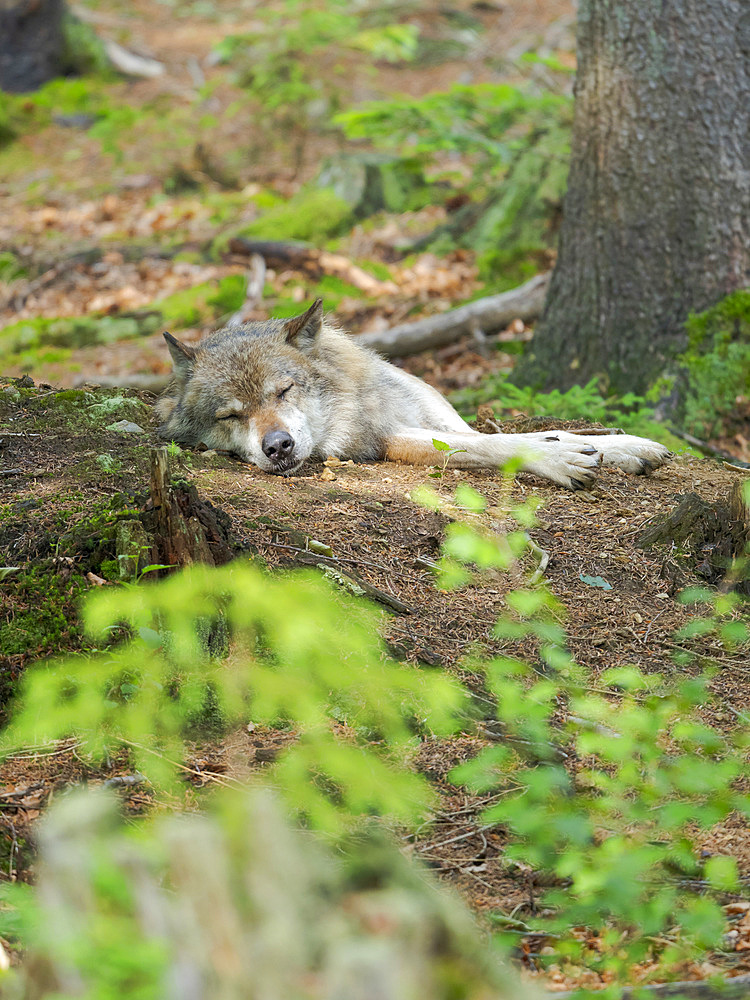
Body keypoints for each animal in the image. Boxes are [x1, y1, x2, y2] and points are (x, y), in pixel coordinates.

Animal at [156, 300, 672, 492]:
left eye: (284, 390)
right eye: (230, 416)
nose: (278, 447)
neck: (358, 406)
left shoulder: (436, 414)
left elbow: (545, 432)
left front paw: (625, 446)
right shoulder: (394, 440)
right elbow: (498, 445)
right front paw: (562, 459)